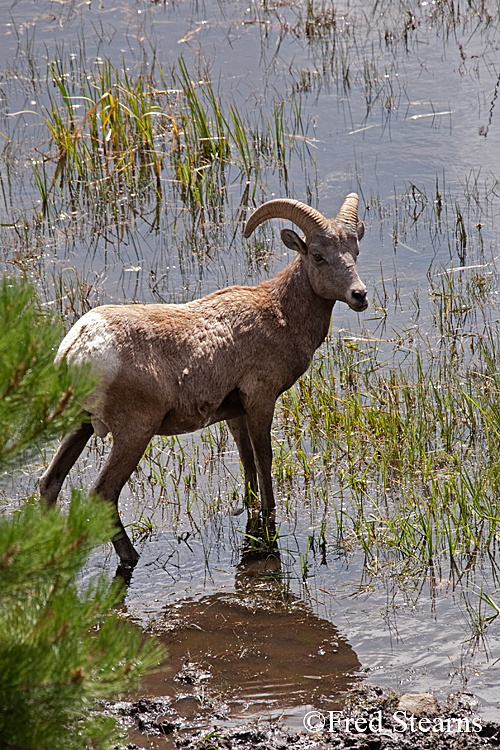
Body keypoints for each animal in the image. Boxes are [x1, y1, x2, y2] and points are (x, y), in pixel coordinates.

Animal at [40, 194, 368, 564]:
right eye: (317, 255)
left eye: (354, 251)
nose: (359, 295)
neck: (280, 314)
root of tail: (78, 346)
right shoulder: (260, 400)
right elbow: (264, 462)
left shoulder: (235, 413)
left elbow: (248, 465)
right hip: (133, 433)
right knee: (104, 494)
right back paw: (132, 557)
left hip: (79, 424)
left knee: (51, 481)